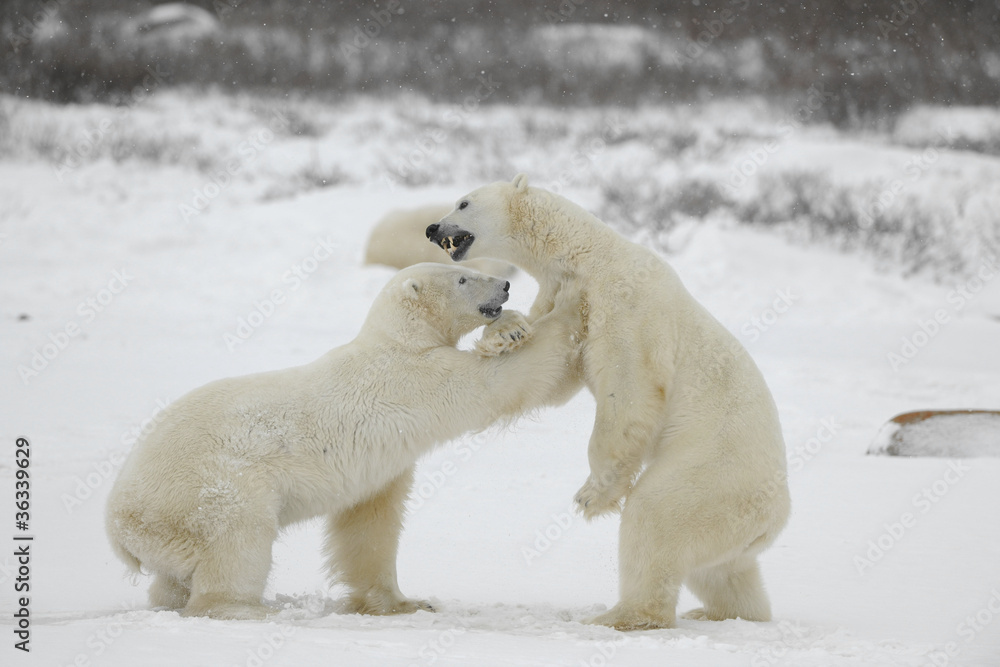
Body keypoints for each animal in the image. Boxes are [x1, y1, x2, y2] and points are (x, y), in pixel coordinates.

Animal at [106, 262, 582, 620]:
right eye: (462, 278)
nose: (505, 285)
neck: (399, 340)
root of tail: (119, 529)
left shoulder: (383, 465)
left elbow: (370, 524)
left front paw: (405, 602)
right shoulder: (415, 378)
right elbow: (496, 383)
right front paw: (567, 310)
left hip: (170, 532)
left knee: (173, 577)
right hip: (206, 488)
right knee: (239, 537)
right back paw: (246, 608)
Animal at [426, 174, 790, 631]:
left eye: (463, 202)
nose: (432, 228)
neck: (587, 254)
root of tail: (775, 520)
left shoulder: (624, 303)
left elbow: (628, 386)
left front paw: (592, 496)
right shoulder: (558, 291)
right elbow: (552, 373)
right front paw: (503, 335)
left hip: (713, 474)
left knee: (656, 516)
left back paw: (619, 615)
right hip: (732, 524)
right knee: (723, 570)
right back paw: (723, 612)